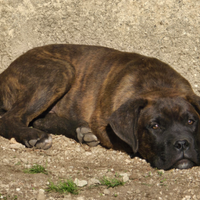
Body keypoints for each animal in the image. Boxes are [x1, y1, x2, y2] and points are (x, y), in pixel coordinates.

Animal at [0, 44, 200, 170]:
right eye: (155, 126)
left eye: (191, 121)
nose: (182, 144)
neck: (158, 85)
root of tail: (6, 71)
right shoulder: (104, 125)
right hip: (59, 71)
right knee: (11, 119)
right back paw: (34, 136)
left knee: (39, 120)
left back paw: (81, 131)